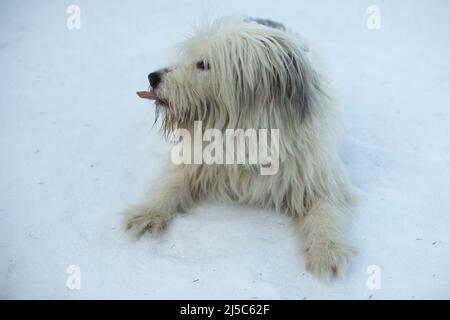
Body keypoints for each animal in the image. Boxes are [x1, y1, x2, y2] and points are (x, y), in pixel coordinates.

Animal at [125, 16, 356, 280]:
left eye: (203, 64)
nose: (152, 77)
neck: (247, 138)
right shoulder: (195, 157)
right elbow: (170, 183)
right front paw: (147, 213)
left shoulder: (319, 177)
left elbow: (325, 211)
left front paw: (327, 250)